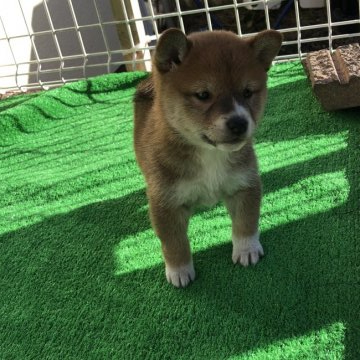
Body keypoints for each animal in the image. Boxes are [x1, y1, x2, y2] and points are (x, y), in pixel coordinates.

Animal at [134, 27, 282, 286]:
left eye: (247, 92)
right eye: (203, 94)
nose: (239, 123)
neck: (211, 155)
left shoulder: (244, 184)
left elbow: (246, 222)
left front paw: (246, 250)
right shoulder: (165, 203)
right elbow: (174, 243)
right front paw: (179, 270)